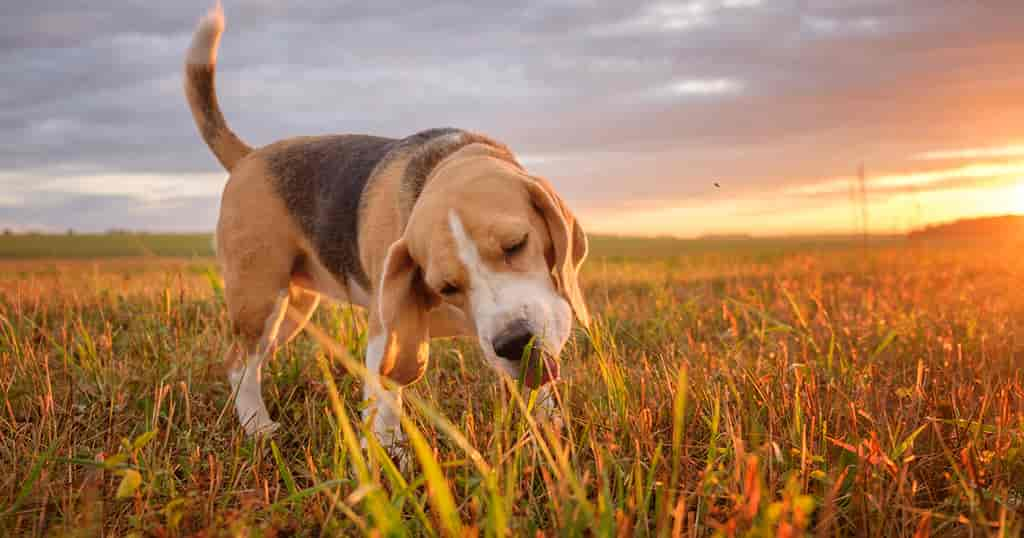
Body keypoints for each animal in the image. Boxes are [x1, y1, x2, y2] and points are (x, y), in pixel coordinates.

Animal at [181, 6, 589, 448]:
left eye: (517, 244)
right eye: (446, 286)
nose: (514, 343)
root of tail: (249, 157)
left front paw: (551, 432)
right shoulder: (384, 331)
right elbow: (386, 406)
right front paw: (390, 455)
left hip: (293, 308)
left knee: (252, 360)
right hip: (259, 298)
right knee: (239, 363)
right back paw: (258, 425)